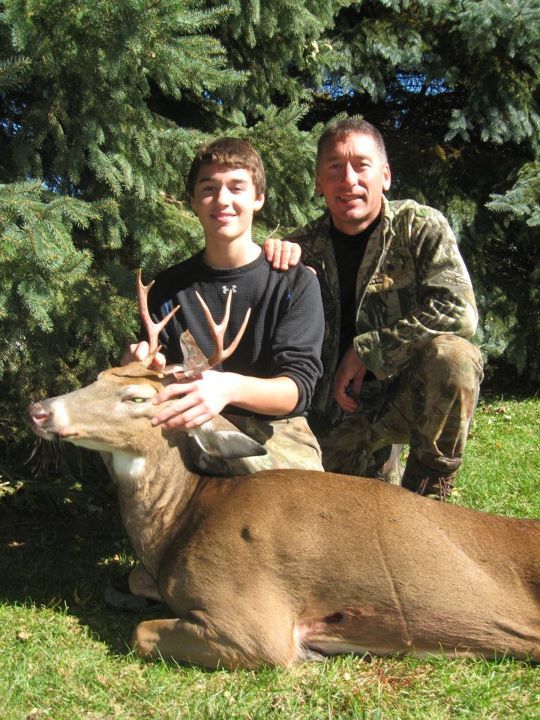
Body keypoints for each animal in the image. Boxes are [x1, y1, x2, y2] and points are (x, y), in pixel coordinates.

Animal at [28, 272, 540, 668]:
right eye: (97, 377)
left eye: (136, 399)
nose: (39, 410)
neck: (179, 525)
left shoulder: (250, 619)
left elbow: (142, 633)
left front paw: (310, 653)